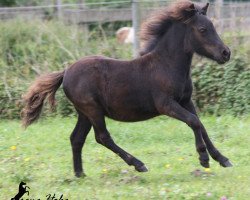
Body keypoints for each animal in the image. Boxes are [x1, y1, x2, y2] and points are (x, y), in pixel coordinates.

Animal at [22, 0, 232, 177]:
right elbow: (193, 122)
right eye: (203, 29)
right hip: (93, 109)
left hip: (84, 113)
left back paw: (80, 174)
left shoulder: (186, 101)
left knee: (76, 138)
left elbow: (200, 124)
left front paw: (222, 159)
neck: (166, 65)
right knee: (102, 137)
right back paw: (138, 164)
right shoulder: (166, 104)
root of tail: (65, 72)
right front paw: (204, 159)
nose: (226, 53)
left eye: (213, 26)